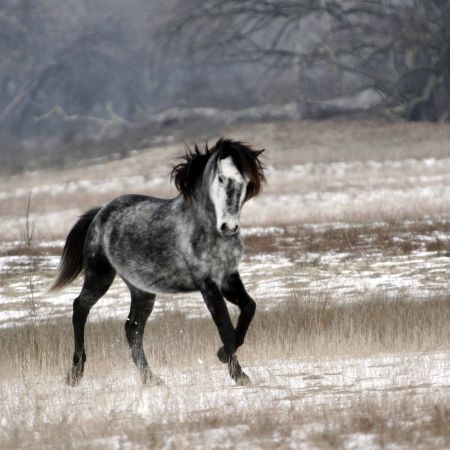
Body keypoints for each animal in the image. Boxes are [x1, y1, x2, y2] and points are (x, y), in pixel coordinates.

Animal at [50, 140, 266, 386]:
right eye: (220, 178)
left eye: (246, 181)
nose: (229, 227)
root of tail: (99, 214)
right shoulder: (207, 284)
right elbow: (225, 327)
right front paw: (236, 372)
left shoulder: (228, 278)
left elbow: (249, 308)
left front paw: (228, 362)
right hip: (99, 276)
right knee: (80, 308)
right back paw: (75, 374)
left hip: (141, 289)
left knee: (132, 327)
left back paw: (150, 378)